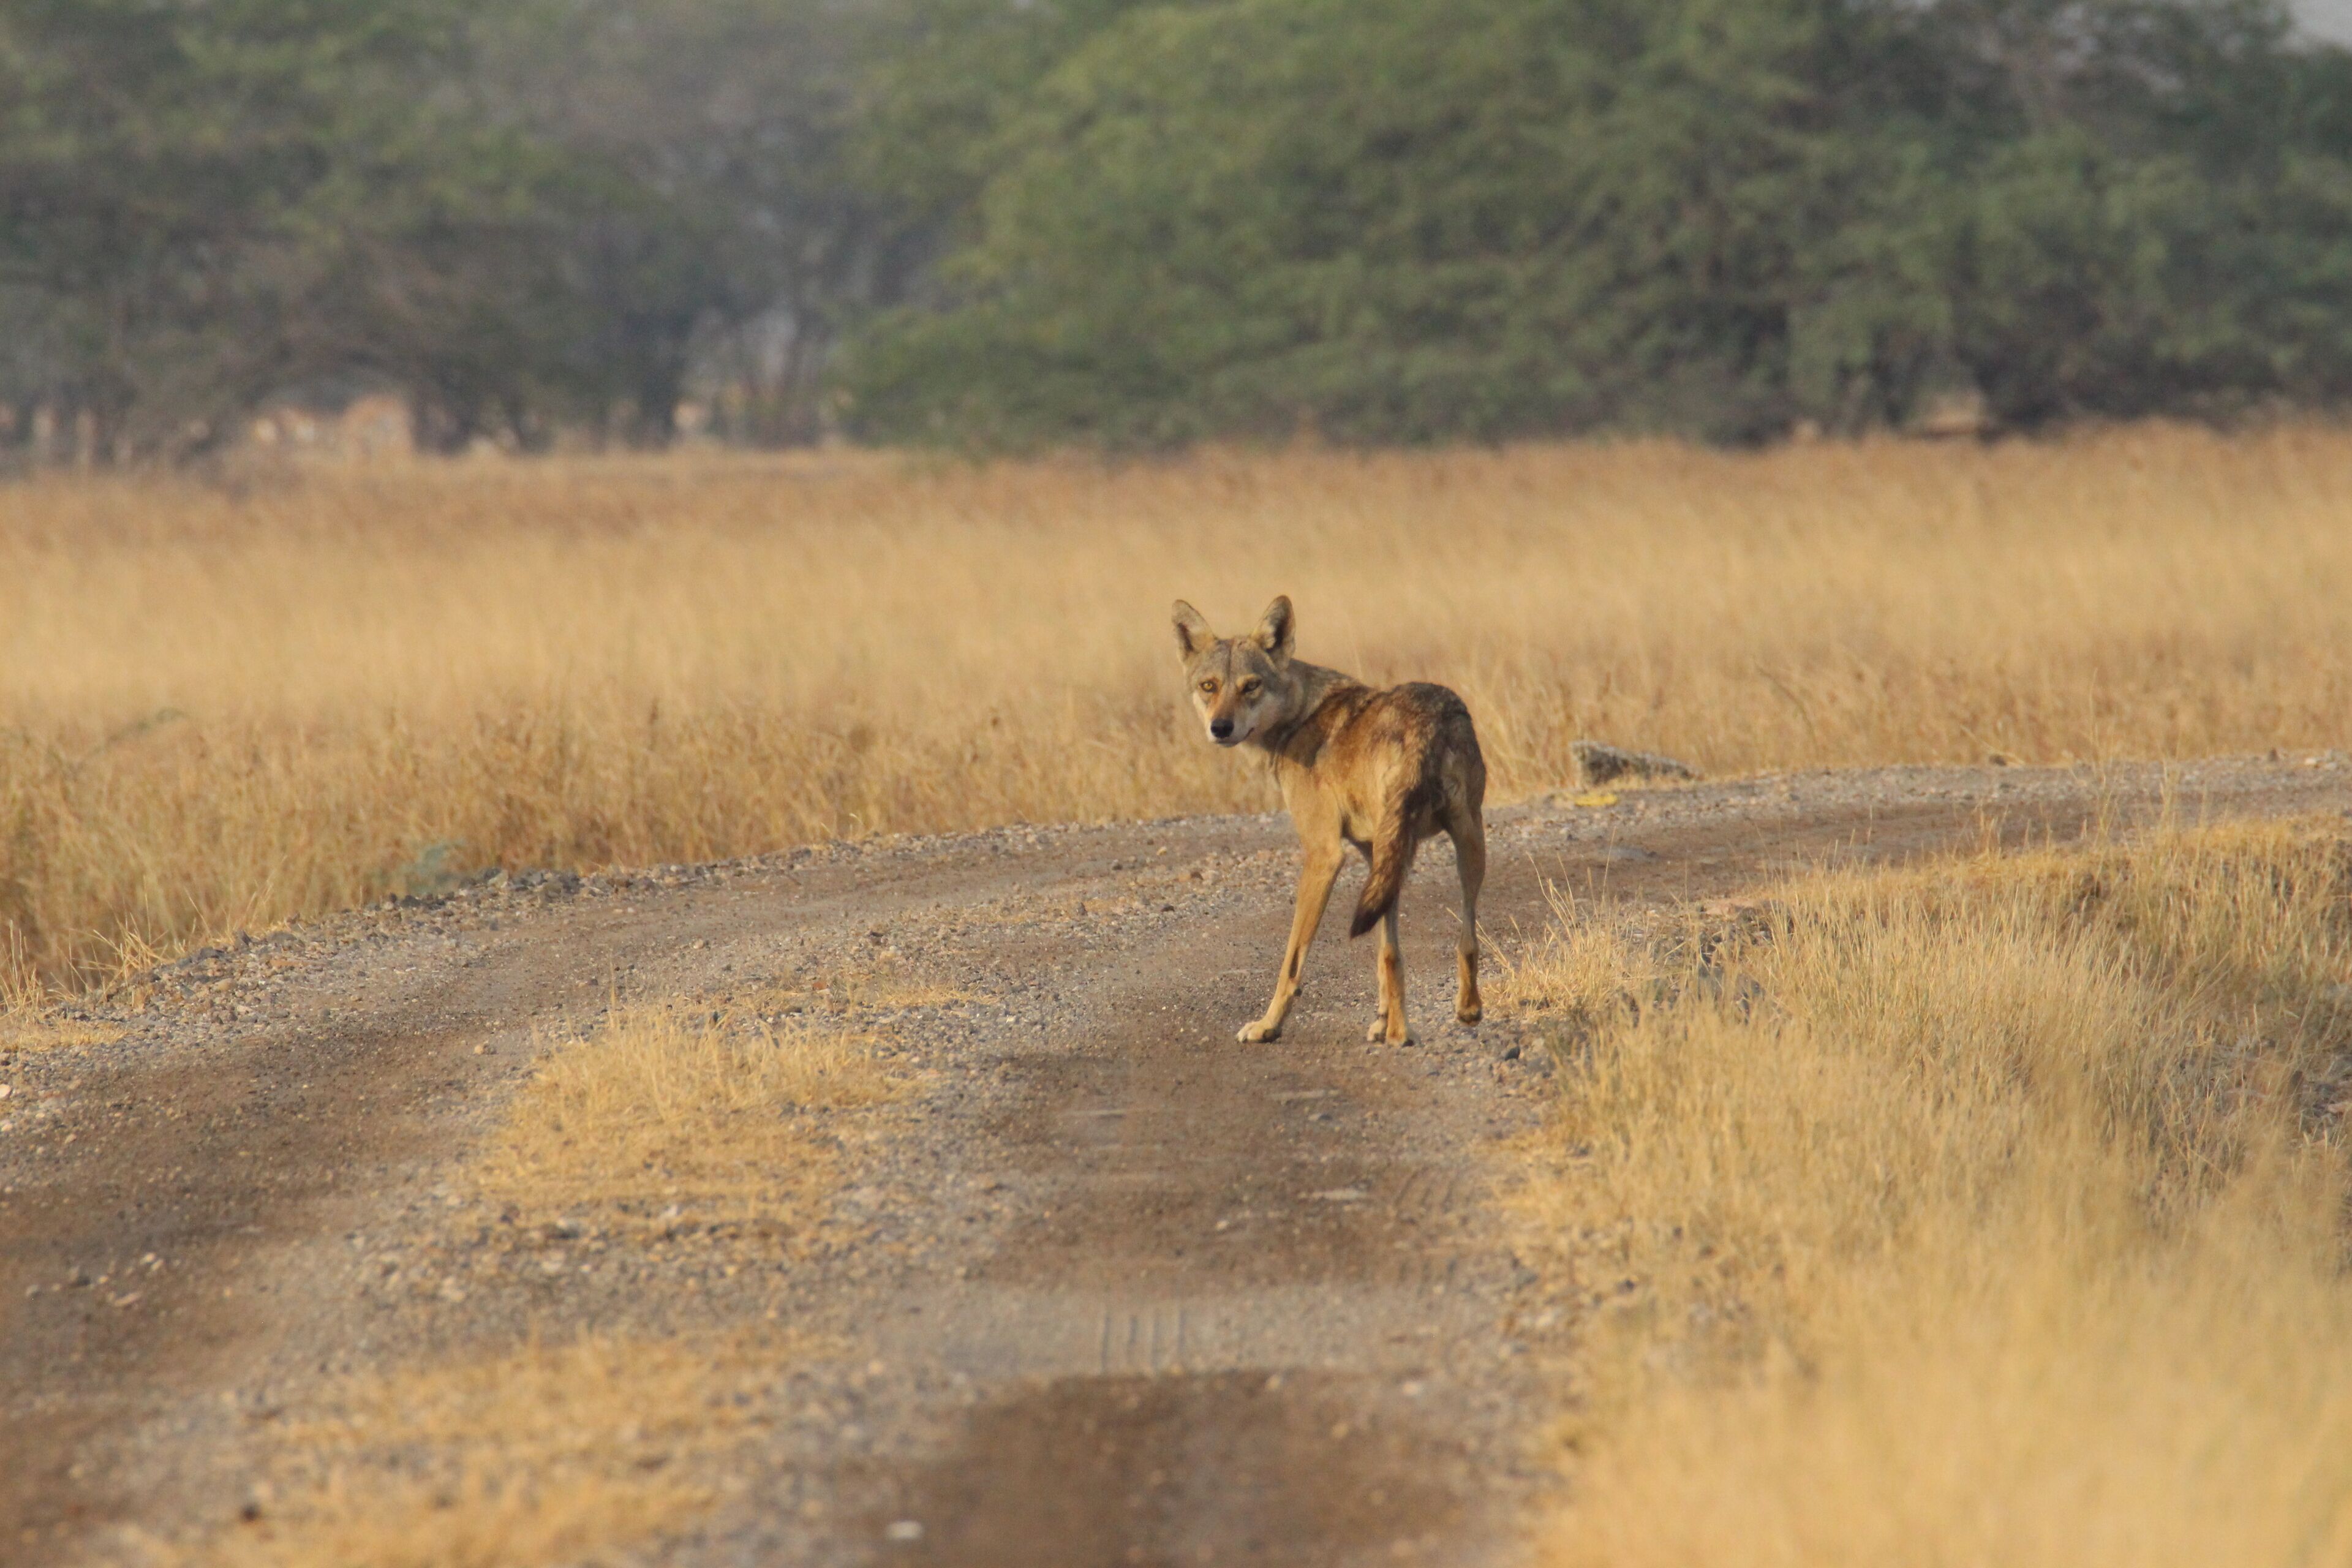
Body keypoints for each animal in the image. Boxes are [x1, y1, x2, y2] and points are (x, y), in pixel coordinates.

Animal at [1172, 595, 1486, 1046]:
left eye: (1251, 686)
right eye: (1209, 686)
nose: (1221, 727)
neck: (1299, 718)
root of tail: (1429, 718)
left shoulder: (1323, 855)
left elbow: (1292, 961)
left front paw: (1268, 1025)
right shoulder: (1374, 855)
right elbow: (1386, 954)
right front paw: (1382, 1018)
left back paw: (1402, 1034)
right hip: (1460, 843)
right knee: (1464, 938)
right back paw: (1459, 1012)